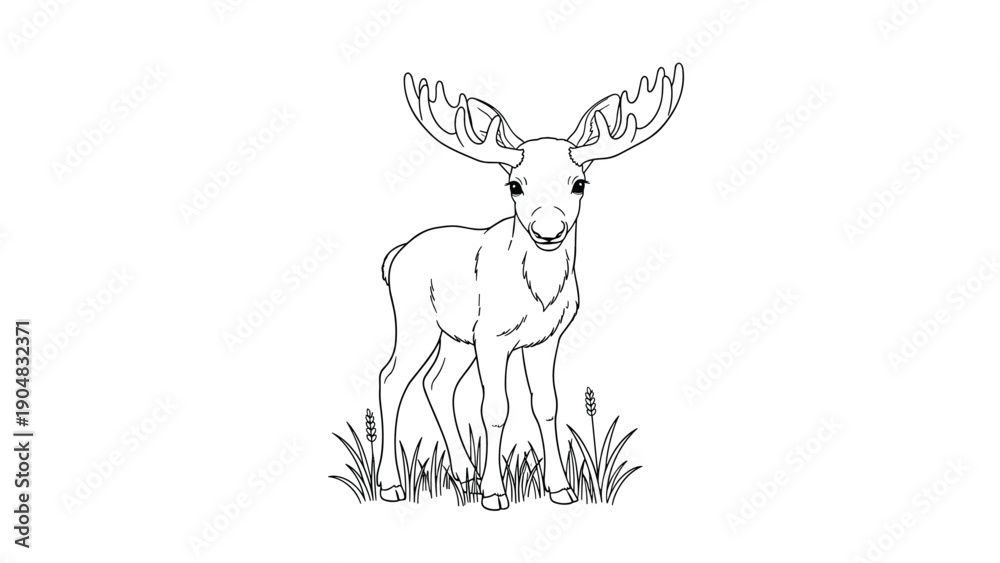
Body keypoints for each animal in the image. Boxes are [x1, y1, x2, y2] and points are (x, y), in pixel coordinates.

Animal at [377, 64, 684, 510]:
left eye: (579, 183)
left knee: (436, 383)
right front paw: (494, 493)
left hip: (455, 336)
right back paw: (391, 484)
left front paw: (560, 488)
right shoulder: (492, 337)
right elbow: (494, 409)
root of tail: (395, 256)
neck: (537, 296)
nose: (548, 230)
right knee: (391, 379)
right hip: (415, 320)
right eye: (514, 185)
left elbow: (547, 405)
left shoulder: (545, 338)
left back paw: (463, 473)